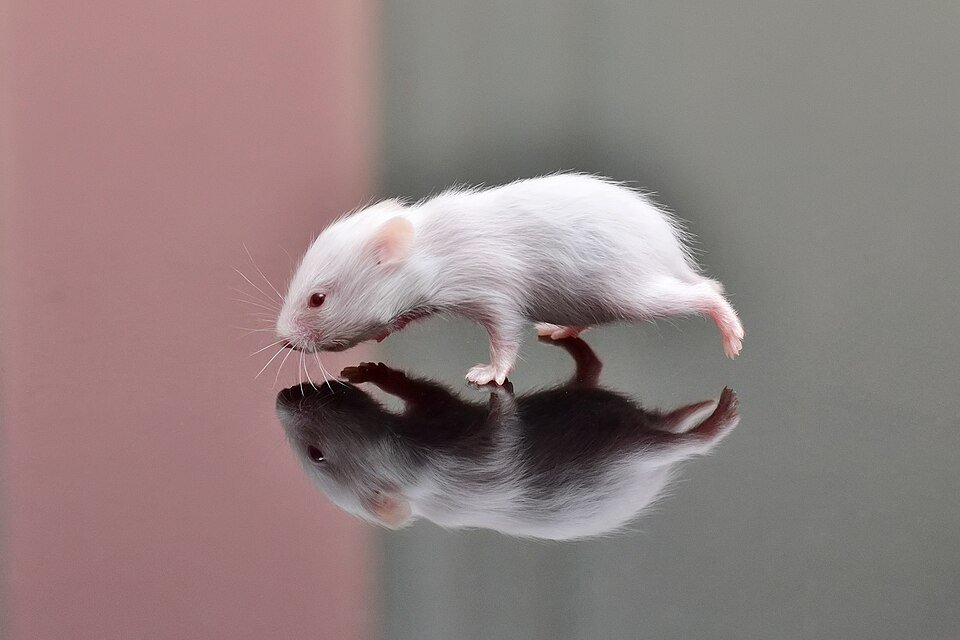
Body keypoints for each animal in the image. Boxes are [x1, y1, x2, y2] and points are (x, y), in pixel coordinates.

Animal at [275, 338, 740, 540]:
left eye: (315, 455)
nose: (282, 398)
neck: (415, 487)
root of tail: (652, 469)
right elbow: (423, 394)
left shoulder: (442, 433)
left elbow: (426, 392)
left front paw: (373, 371)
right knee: (592, 370)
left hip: (628, 451)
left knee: (686, 445)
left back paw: (718, 420)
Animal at [276, 173, 744, 385]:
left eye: (317, 299)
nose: (282, 339)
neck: (427, 248)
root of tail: (671, 252)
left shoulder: (493, 290)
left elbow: (504, 333)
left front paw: (489, 374)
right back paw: (560, 329)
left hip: (630, 290)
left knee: (707, 291)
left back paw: (730, 333)